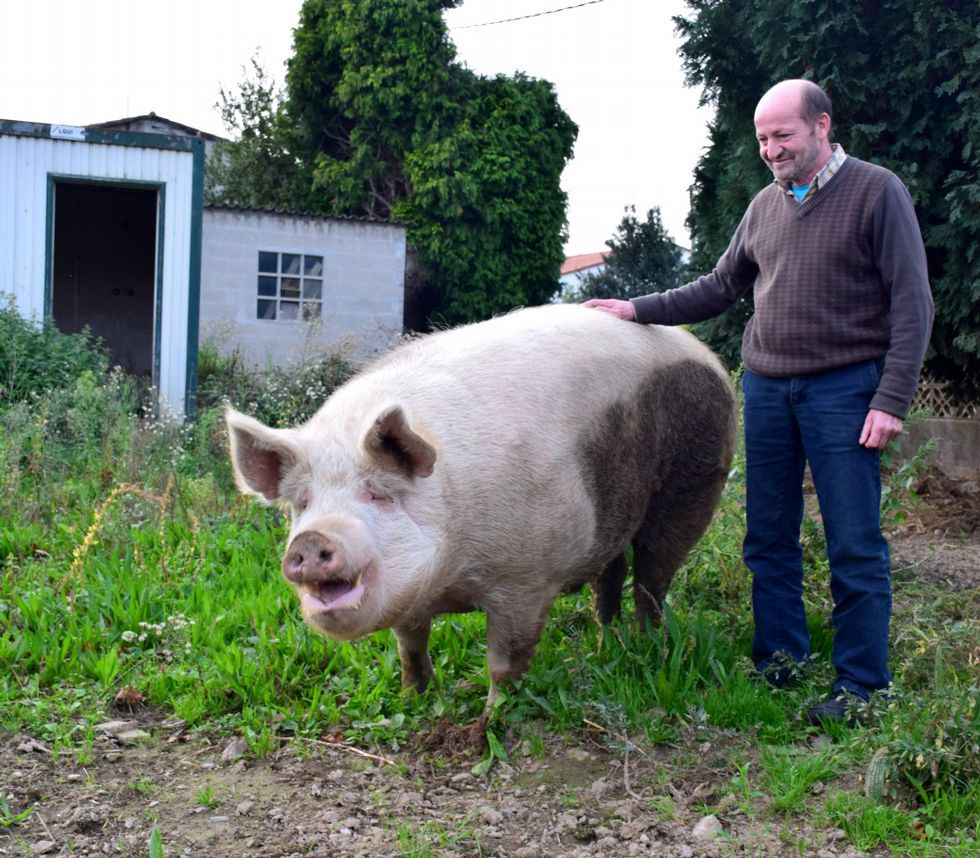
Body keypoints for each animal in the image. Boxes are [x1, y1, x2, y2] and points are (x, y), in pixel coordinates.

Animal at [225, 303, 737, 711]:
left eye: (378, 493)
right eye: (302, 503)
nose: (312, 540)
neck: (454, 576)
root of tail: (701, 350)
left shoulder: (527, 581)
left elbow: (504, 661)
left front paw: (489, 718)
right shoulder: (415, 595)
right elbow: (410, 646)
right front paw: (411, 700)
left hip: (694, 481)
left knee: (652, 577)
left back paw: (647, 648)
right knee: (611, 575)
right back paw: (603, 645)